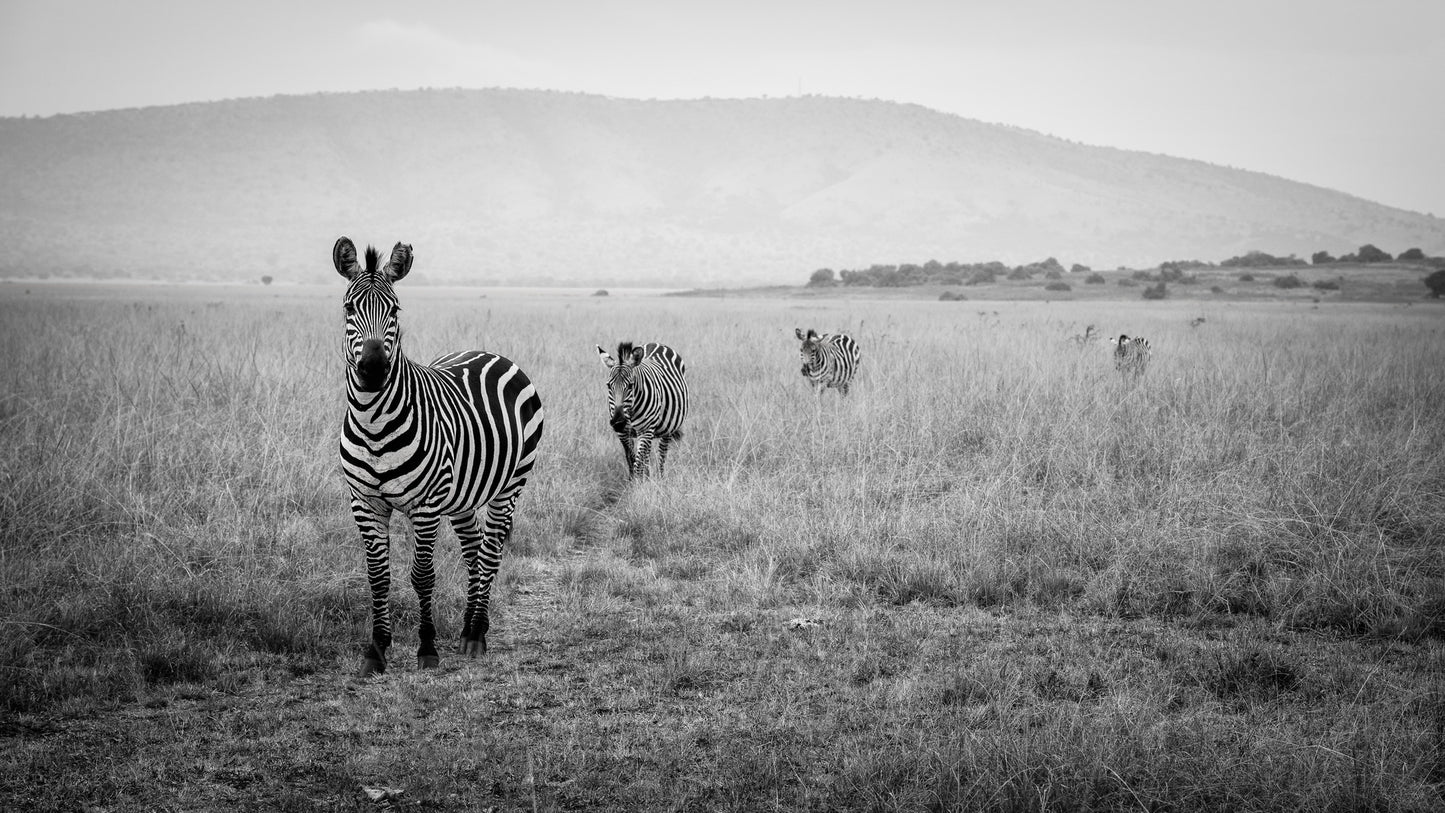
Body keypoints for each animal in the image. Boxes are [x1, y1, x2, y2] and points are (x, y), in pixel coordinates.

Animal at [335, 236, 543, 681]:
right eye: (348, 308)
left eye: (395, 310)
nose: (373, 368)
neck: (373, 421)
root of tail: (487, 352)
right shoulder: (364, 502)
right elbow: (378, 577)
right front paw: (376, 650)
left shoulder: (426, 504)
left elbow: (422, 576)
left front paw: (427, 649)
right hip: (462, 495)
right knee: (474, 551)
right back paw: (468, 629)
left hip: (511, 484)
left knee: (491, 552)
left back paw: (477, 635)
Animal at [598, 342, 687, 479]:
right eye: (608, 385)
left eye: (630, 385)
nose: (618, 423)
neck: (630, 412)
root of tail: (656, 343)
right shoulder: (623, 433)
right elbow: (631, 459)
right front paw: (633, 481)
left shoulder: (645, 430)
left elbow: (638, 464)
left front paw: (638, 483)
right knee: (647, 455)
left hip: (667, 428)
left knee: (662, 455)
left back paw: (660, 479)